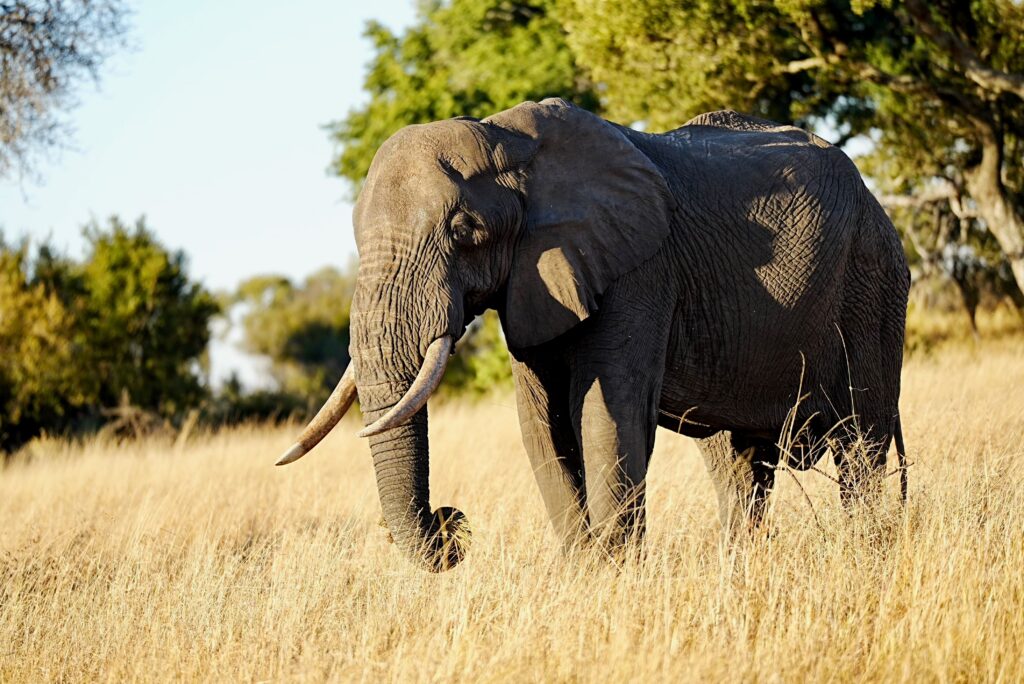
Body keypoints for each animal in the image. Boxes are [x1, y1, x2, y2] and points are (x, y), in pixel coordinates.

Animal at [275, 98, 910, 573]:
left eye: (464, 230)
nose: (449, 524)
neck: (512, 143)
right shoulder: (536, 279)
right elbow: (542, 424)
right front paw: (584, 571)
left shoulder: (640, 268)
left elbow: (608, 413)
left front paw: (614, 572)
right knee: (737, 465)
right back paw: (741, 565)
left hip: (872, 280)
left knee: (861, 441)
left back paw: (866, 554)